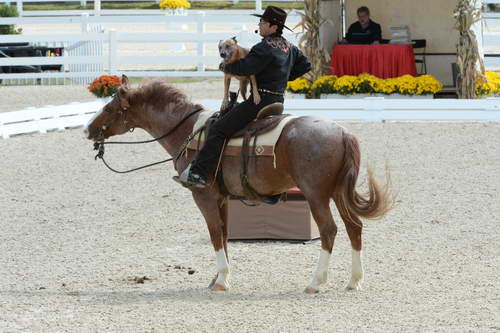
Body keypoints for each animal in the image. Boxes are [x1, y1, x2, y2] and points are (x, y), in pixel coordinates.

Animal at [84, 76, 392, 294]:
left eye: (110, 107)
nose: (88, 129)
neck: (190, 132)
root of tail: (342, 132)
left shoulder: (204, 196)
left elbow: (214, 235)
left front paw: (221, 281)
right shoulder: (222, 198)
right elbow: (224, 234)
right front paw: (218, 277)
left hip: (316, 195)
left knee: (329, 231)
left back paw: (316, 282)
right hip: (338, 193)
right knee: (354, 227)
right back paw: (354, 281)